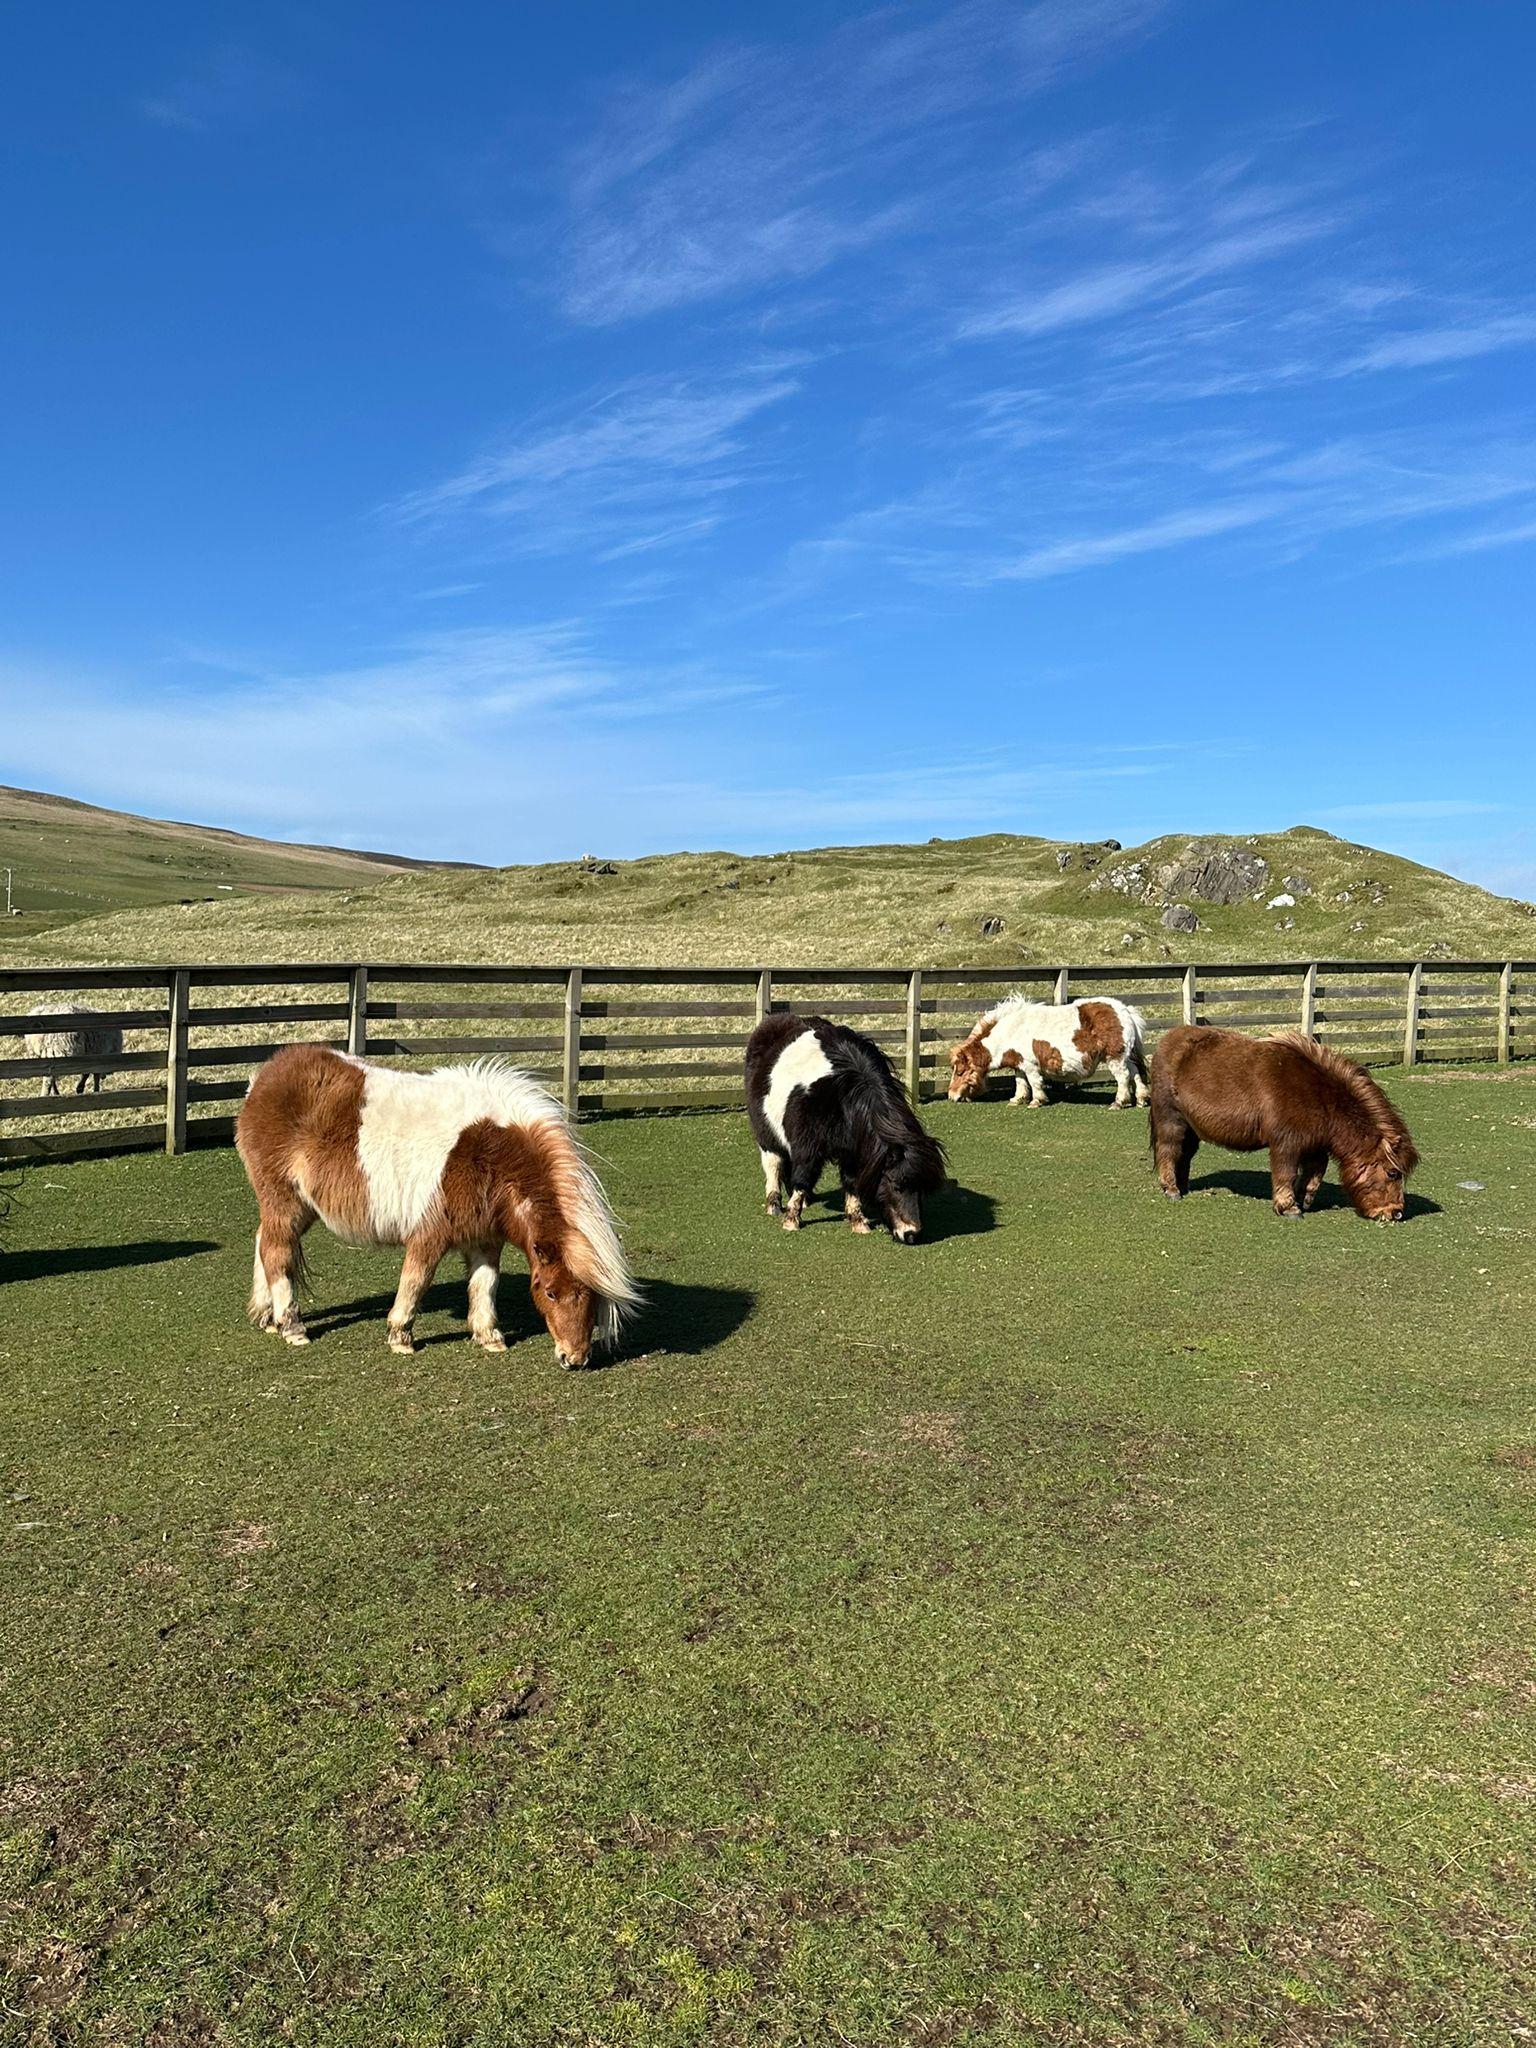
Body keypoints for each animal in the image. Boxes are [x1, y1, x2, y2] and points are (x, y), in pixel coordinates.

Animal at [235, 1044, 640, 1363]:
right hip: (284, 1200)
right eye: (551, 1292)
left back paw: (266, 1317)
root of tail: (263, 1078)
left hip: (300, 1207)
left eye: (590, 1296)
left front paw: (489, 1336)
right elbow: (416, 1281)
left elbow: (484, 1285)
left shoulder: (485, 1239)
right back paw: (292, 1326)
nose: (574, 1358)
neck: (490, 1155)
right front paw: (401, 1337)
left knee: (263, 1242)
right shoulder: (430, 1234)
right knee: (277, 1253)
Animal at [744, 1012, 948, 1241]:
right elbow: (803, 1177)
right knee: (773, 1164)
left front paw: (858, 1221)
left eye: (922, 1188)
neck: (842, 1097)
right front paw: (791, 1220)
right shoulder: (807, 1147)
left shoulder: (853, 1152)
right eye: (897, 1185)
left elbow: (851, 1183)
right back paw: (774, 1204)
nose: (912, 1234)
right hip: (766, 1133)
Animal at [948, 996, 1150, 1107]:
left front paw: (1036, 1101)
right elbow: (1020, 1082)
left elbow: (1034, 1082)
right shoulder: (1019, 1064)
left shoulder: (1030, 1065)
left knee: (1124, 1077)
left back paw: (1119, 1102)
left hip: (1115, 1057)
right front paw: (1017, 1100)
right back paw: (1141, 1100)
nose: (952, 1096)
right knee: (1135, 1072)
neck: (1011, 1031)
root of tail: (1125, 1010)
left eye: (960, 1072)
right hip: (1125, 1057)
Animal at [1148, 1025, 1419, 1221]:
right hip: (1171, 1119)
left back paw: (1183, 1185)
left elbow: (1315, 1172)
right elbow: (1286, 1172)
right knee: (1168, 1150)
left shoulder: (1315, 1144)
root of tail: (1165, 1042)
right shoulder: (1286, 1143)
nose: (1395, 1213)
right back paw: (1171, 1189)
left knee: (1184, 1154)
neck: (1319, 1094)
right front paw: (1288, 1207)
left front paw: (1304, 1199)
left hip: (1192, 1128)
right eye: (1393, 1173)